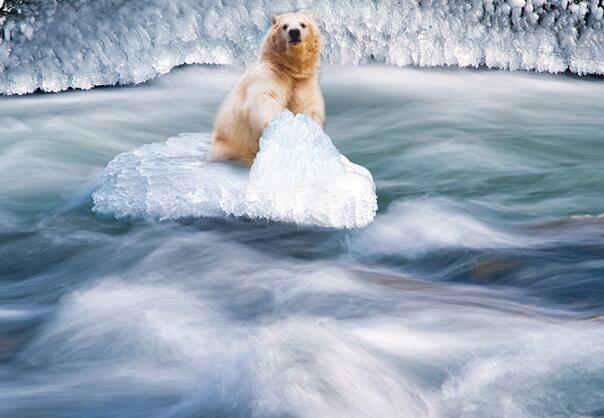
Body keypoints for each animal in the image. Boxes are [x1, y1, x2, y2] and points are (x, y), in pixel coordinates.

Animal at [211, 11, 326, 165]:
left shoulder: (304, 82)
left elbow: (307, 105)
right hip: (228, 145)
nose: (294, 32)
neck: (290, 70)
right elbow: (266, 97)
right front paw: (277, 129)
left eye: (303, 24)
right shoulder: (268, 74)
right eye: (285, 26)